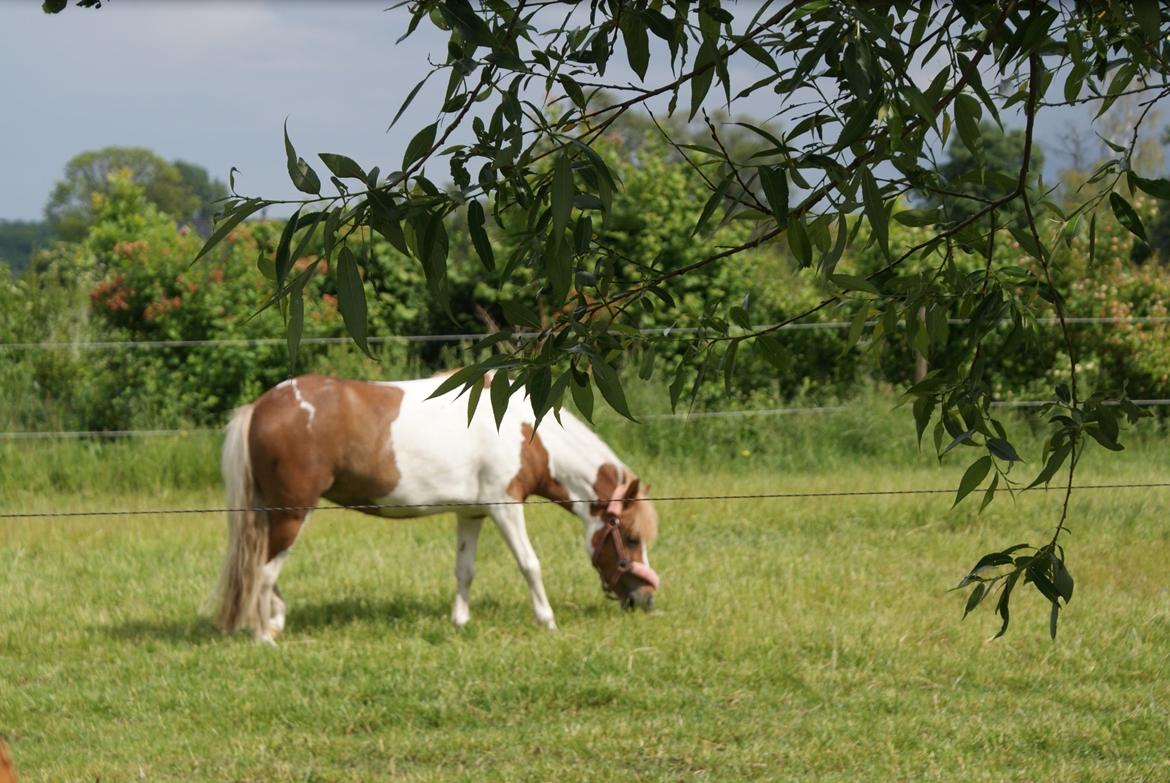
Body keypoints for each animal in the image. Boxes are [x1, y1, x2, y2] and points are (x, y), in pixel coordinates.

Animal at [209, 372, 659, 641]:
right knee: (264, 571)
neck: (524, 430)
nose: (645, 600)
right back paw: (265, 636)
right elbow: (529, 564)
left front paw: (460, 621)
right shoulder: (505, 506)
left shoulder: (471, 512)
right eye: (631, 538)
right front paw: (546, 620)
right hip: (292, 513)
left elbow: (465, 569)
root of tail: (262, 406)